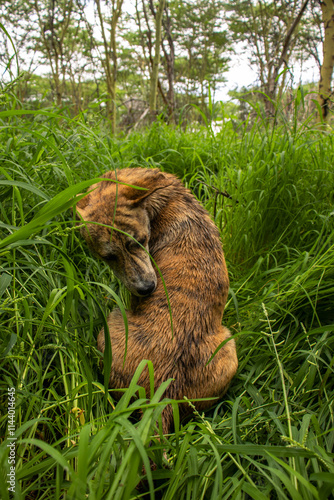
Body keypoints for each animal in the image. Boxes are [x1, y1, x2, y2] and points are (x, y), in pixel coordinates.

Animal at [75, 168, 237, 434]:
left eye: (140, 241)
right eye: (109, 256)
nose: (147, 289)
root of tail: (163, 393)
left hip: (110, 325)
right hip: (229, 349)